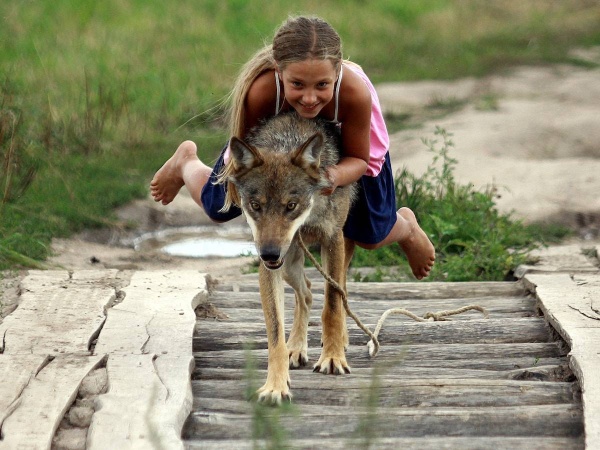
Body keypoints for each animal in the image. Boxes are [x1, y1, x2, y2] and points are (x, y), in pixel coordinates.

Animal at [227, 111, 354, 404]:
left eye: (291, 206)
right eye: (256, 206)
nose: (269, 253)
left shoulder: (333, 239)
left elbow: (332, 305)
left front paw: (332, 358)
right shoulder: (270, 265)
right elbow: (275, 333)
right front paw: (275, 385)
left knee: (339, 291)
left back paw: (339, 341)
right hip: (288, 264)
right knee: (305, 292)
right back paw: (296, 348)